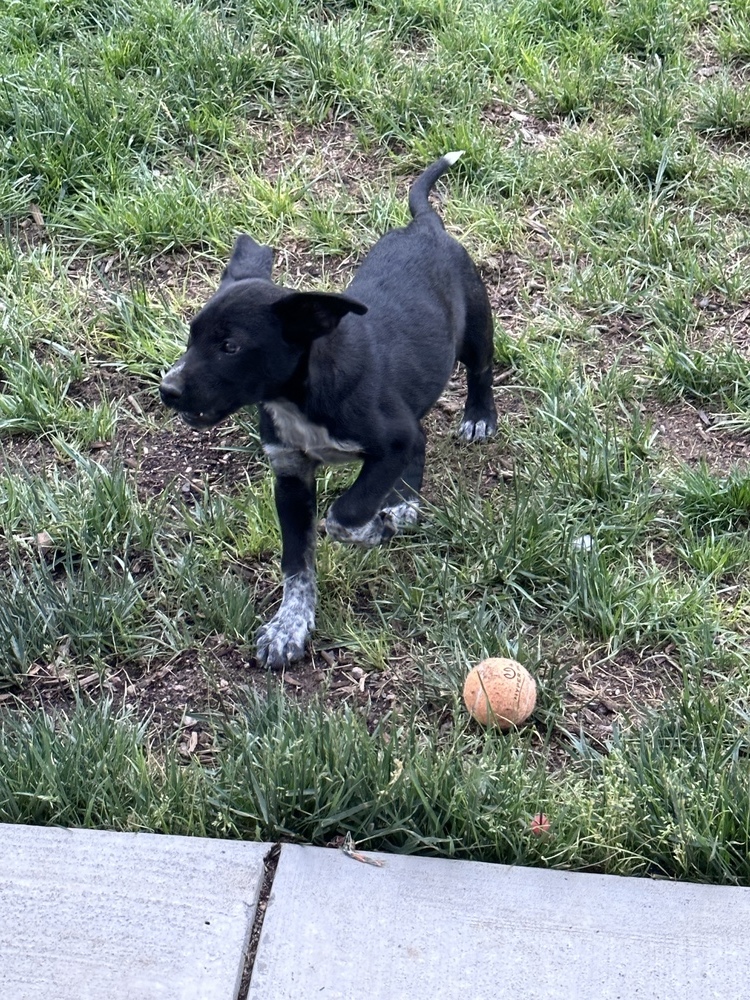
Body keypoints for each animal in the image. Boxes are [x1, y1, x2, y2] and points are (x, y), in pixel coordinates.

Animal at [160, 152, 500, 668]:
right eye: (191, 335)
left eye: (230, 346)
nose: (168, 389)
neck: (298, 398)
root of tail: (423, 225)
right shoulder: (290, 472)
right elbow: (296, 562)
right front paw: (290, 626)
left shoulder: (389, 442)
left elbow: (345, 514)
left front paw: (377, 527)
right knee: (422, 441)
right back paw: (404, 504)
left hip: (476, 325)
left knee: (480, 370)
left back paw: (476, 420)